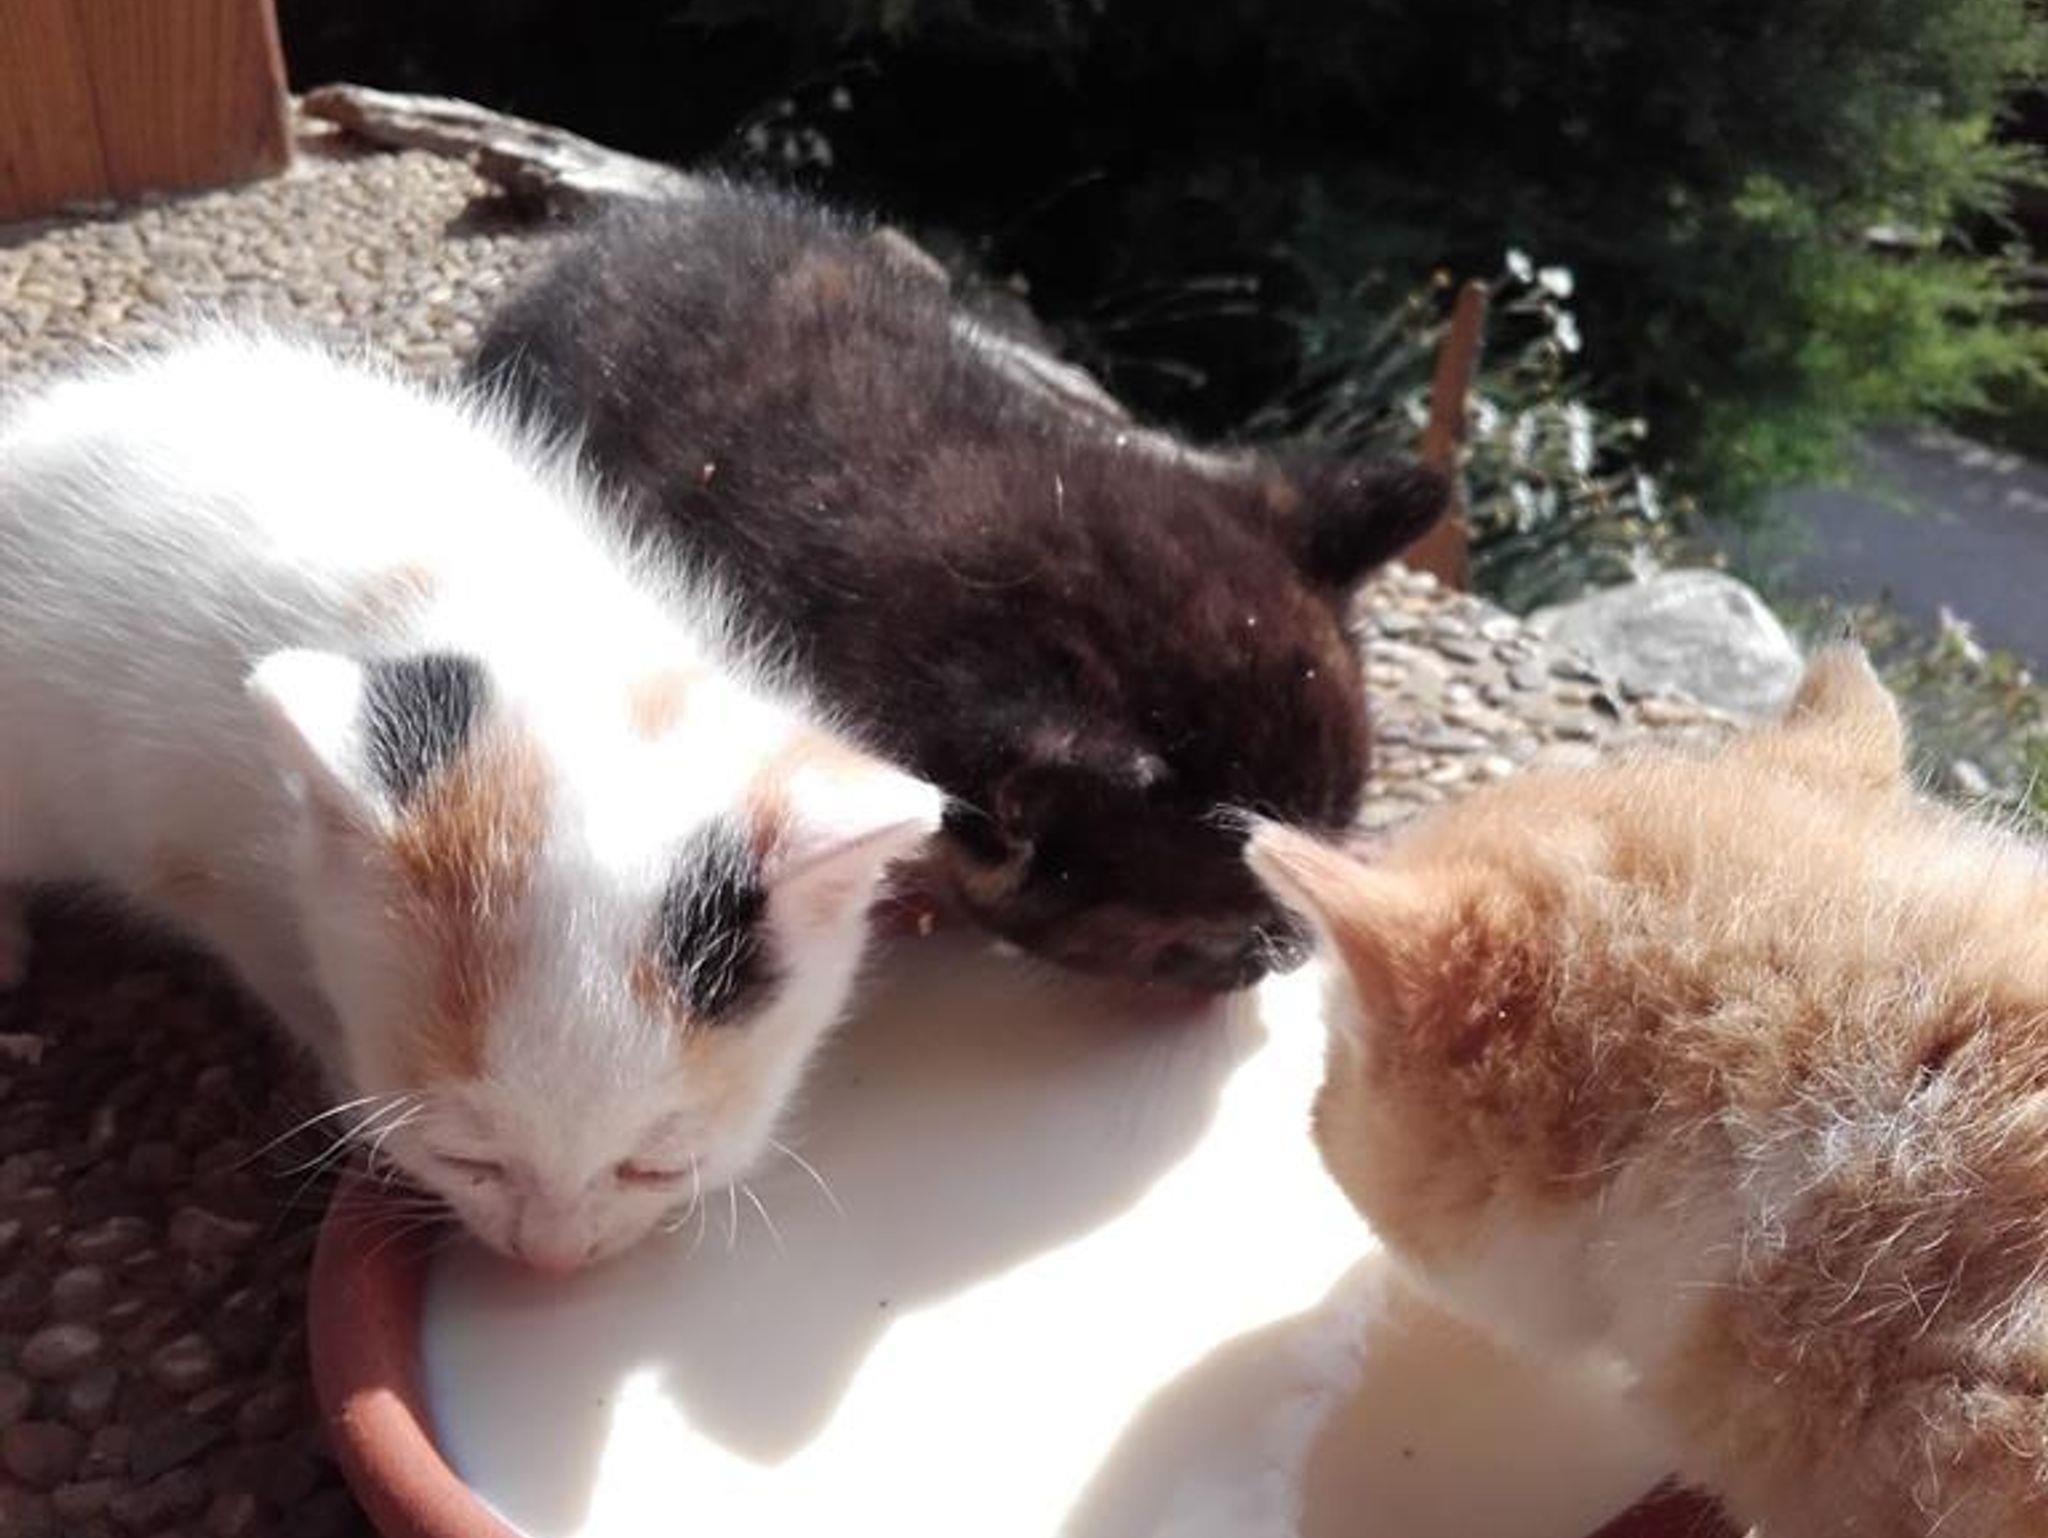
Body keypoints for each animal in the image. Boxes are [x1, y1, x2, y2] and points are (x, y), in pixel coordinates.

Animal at [0, 330, 941, 1272]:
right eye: (468, 1157)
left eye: (655, 1166)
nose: (553, 1259)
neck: (529, 633)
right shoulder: (188, 843)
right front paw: (346, 1081)